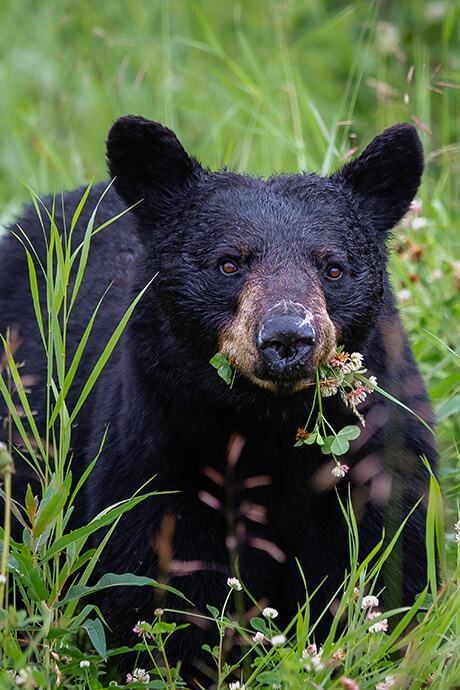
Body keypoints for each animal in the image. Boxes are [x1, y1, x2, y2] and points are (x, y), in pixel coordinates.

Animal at [0, 118, 434, 676]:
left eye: (333, 268)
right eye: (229, 264)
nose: (287, 338)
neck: (268, 426)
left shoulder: (376, 455)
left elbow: (388, 565)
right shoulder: (159, 456)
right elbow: (162, 585)